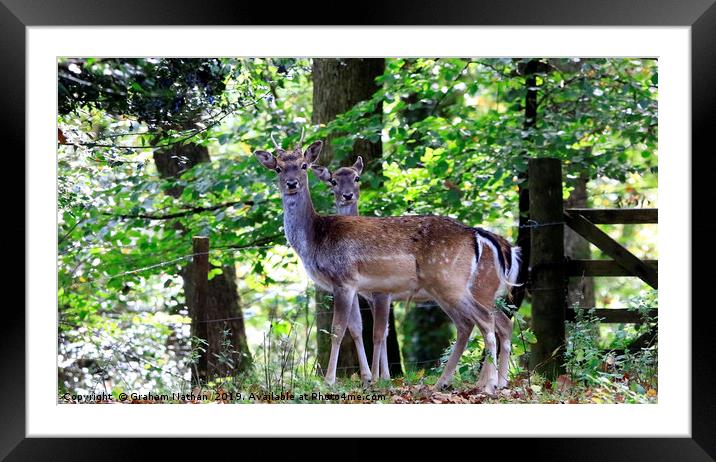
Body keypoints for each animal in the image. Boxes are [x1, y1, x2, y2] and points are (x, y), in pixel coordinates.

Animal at [256, 134, 520, 394]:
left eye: (303, 165)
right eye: (278, 168)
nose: (291, 183)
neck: (315, 239)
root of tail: (474, 234)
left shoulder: (346, 280)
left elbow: (339, 330)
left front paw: (332, 381)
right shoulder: (354, 287)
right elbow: (356, 328)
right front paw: (367, 379)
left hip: (453, 282)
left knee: (484, 320)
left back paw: (489, 385)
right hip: (448, 289)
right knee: (474, 323)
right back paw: (448, 383)